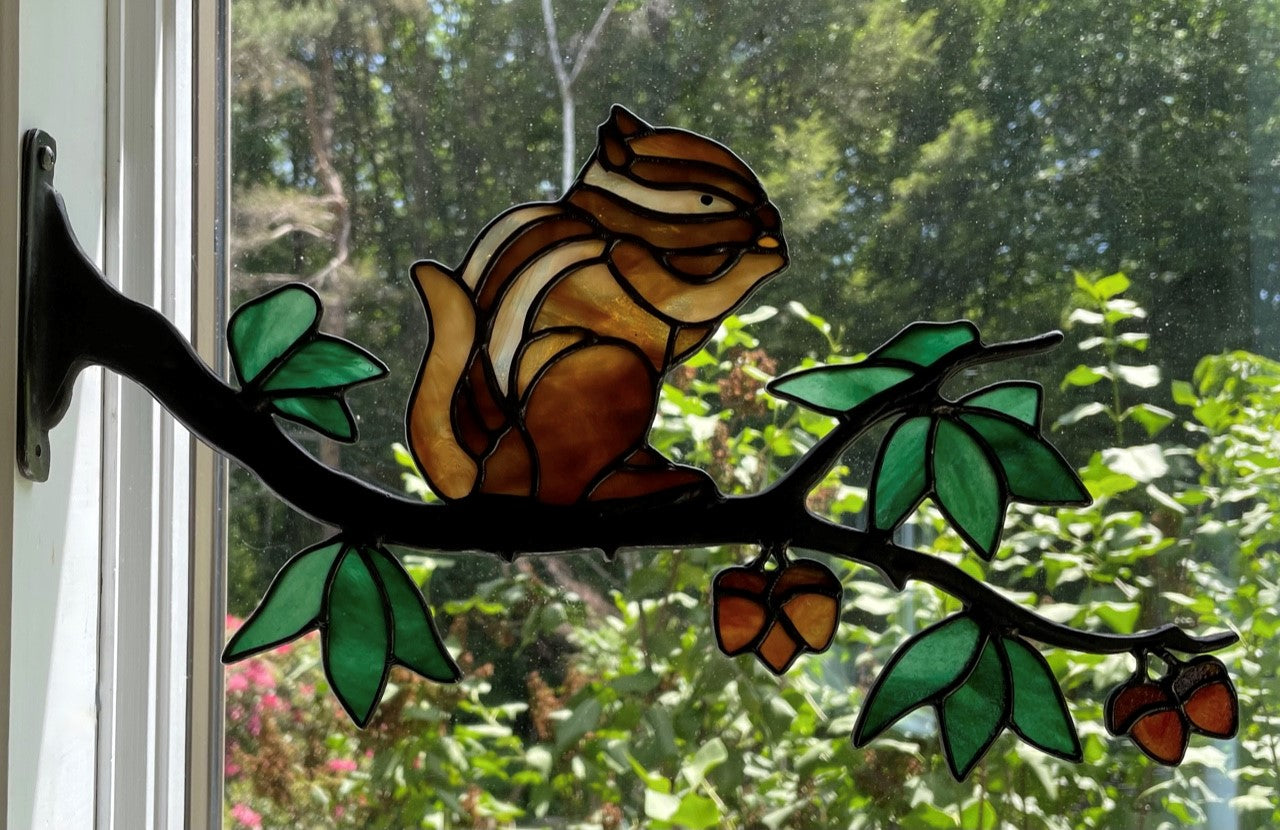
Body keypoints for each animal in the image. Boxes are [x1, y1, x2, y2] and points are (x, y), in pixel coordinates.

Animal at [406, 105, 787, 505]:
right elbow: (696, 298)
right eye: (707, 201)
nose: (773, 221)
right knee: (562, 489)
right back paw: (640, 485)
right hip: (608, 369)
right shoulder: (631, 263)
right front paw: (767, 256)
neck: (612, 218)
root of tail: (485, 472)